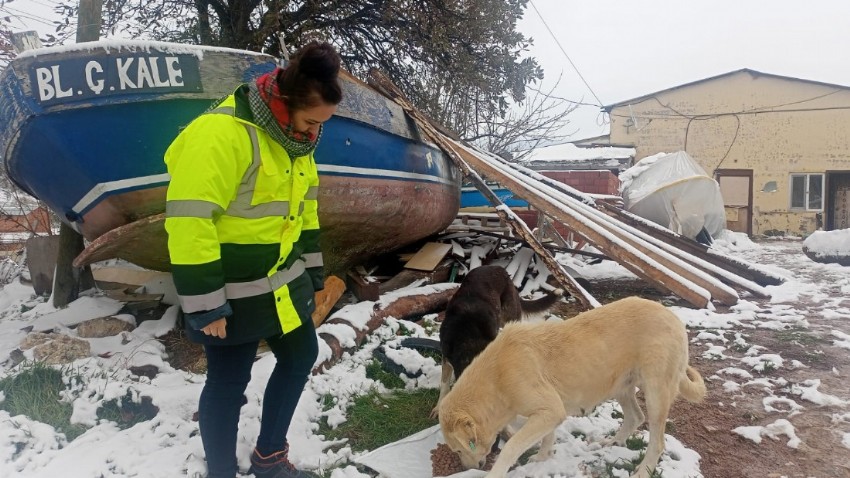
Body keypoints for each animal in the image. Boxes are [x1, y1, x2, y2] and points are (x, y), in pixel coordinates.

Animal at [428, 264, 560, 416]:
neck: (468, 337)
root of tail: (498, 268)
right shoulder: (446, 355)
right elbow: (444, 383)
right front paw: (439, 408)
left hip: (509, 316)